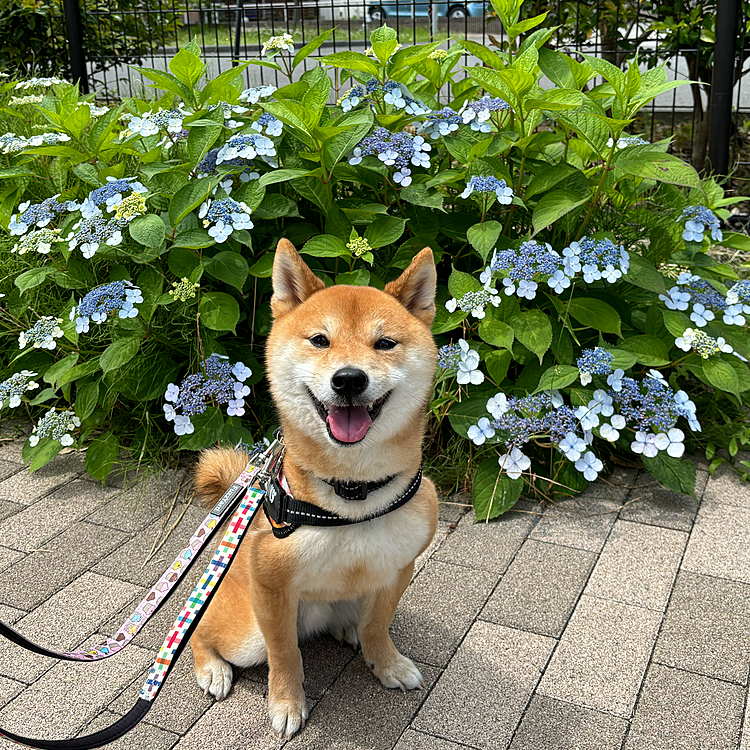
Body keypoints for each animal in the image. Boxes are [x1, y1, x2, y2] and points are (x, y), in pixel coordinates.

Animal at [191, 241, 444, 740]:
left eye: (385, 343)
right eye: (320, 341)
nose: (349, 379)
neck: (352, 496)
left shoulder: (397, 568)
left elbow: (379, 626)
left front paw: (386, 663)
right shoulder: (270, 587)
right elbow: (285, 653)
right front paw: (287, 703)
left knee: (353, 622)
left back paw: (349, 632)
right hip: (245, 630)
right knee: (198, 630)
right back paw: (211, 668)